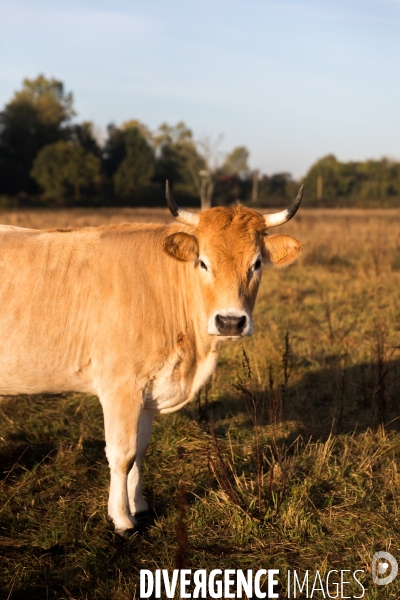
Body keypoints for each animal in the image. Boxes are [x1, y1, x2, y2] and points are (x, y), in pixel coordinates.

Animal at [0, 183, 302, 536]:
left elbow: (141, 448)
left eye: (256, 264)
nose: (230, 322)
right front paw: (122, 519)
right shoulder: (121, 385)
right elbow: (122, 453)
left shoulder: (147, 389)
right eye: (202, 263)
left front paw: (139, 504)